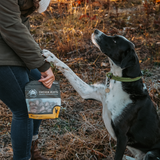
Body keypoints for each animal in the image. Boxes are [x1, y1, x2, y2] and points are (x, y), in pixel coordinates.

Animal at [42, 29, 160, 159]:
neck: (121, 81)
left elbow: (117, 156)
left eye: (115, 41)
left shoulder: (122, 136)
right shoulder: (87, 92)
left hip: (151, 153)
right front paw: (51, 56)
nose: (96, 30)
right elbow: (67, 68)